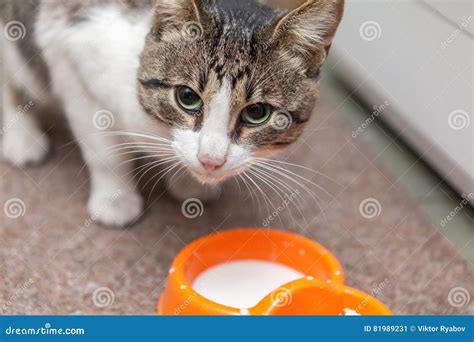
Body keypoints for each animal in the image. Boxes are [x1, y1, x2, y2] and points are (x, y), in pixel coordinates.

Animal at [1, 2, 346, 227]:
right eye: (187, 97)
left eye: (257, 112)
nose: (212, 160)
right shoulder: (73, 62)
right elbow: (106, 153)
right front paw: (116, 199)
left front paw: (187, 181)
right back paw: (21, 137)